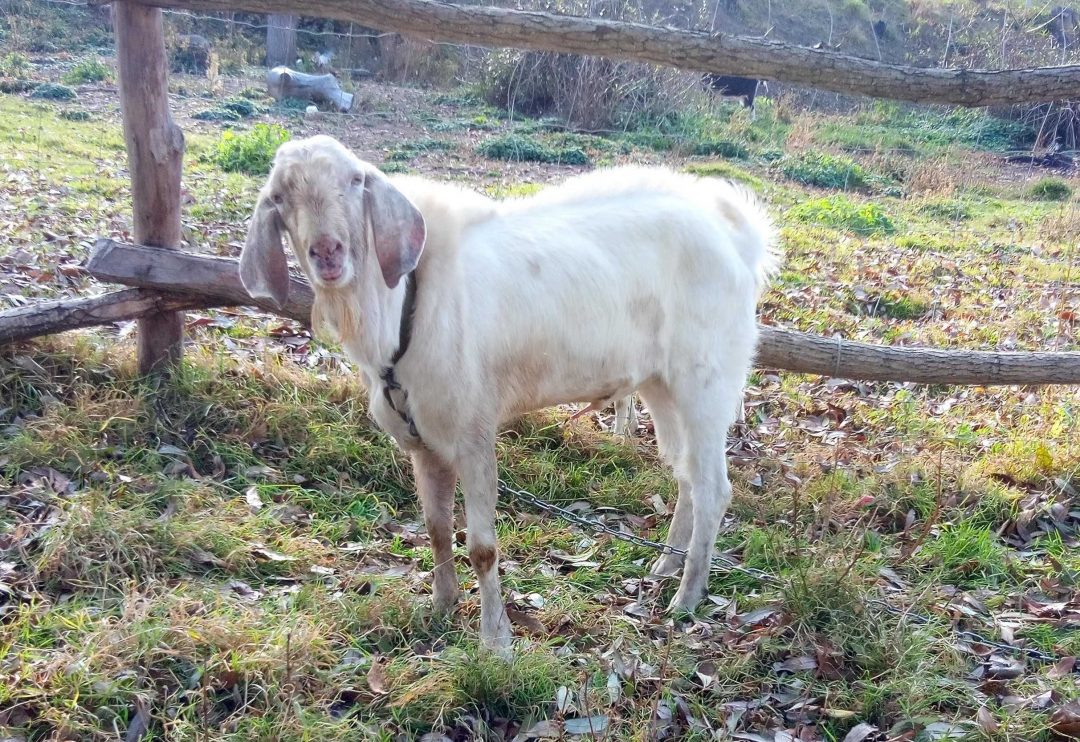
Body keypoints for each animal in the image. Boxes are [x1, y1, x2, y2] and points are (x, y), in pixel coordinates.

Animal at [238, 136, 777, 652]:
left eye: (354, 181)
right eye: (280, 196)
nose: (328, 252)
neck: (403, 309)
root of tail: (737, 238)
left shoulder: (473, 431)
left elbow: (481, 546)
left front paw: (495, 641)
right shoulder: (423, 440)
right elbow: (435, 529)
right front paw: (442, 608)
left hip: (707, 379)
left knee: (714, 488)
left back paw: (687, 597)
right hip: (660, 386)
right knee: (687, 476)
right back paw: (665, 567)